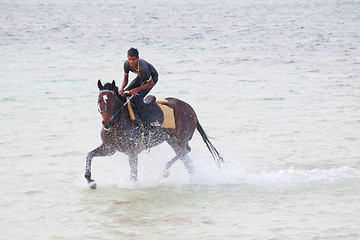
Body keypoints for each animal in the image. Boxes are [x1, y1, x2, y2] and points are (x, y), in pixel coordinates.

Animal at [85, 79, 225, 188]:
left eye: (112, 101)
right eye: (99, 100)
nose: (106, 123)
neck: (118, 122)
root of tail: (191, 110)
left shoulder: (132, 152)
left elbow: (134, 175)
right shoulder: (109, 148)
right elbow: (89, 155)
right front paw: (90, 180)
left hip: (180, 139)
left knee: (185, 151)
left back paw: (166, 170)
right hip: (172, 140)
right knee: (186, 158)